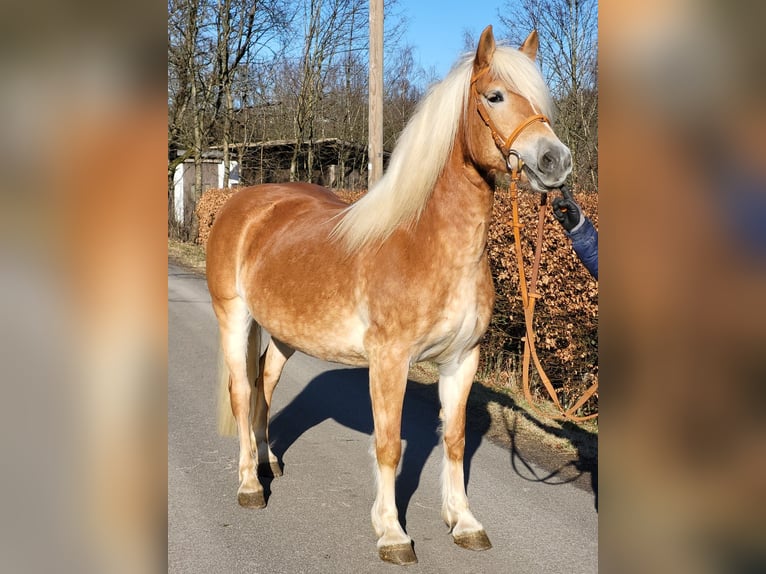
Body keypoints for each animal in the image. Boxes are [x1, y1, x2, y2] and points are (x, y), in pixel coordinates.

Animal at [207, 25, 572, 568]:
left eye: (542, 99)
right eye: (495, 96)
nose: (556, 160)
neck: (428, 243)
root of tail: (244, 203)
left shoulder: (462, 360)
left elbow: (455, 441)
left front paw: (464, 522)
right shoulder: (390, 360)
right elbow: (388, 445)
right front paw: (392, 533)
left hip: (287, 331)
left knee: (265, 384)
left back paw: (269, 461)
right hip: (234, 318)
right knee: (242, 390)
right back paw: (251, 484)